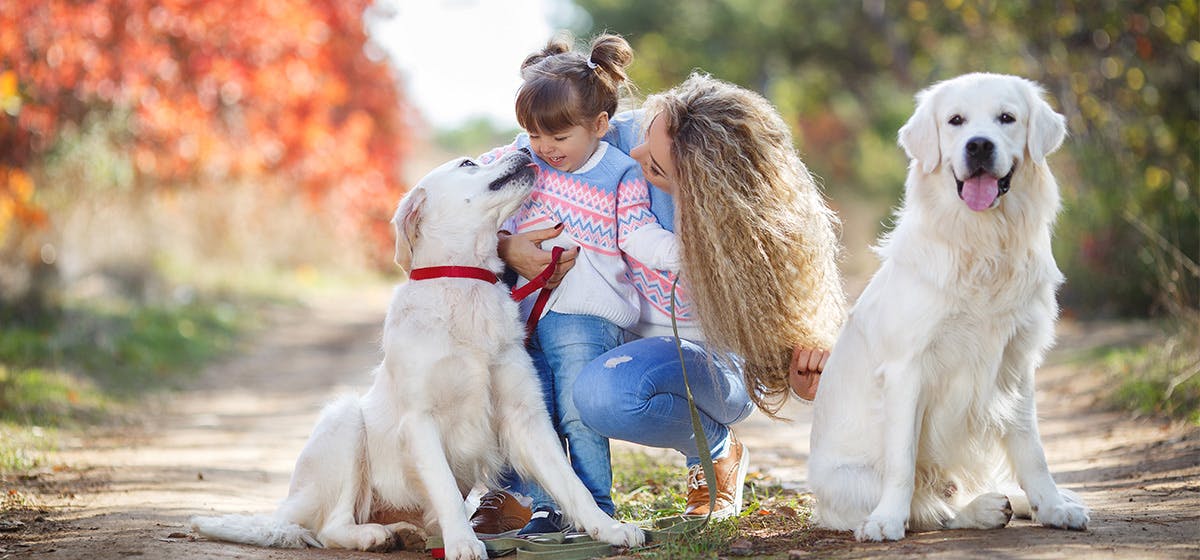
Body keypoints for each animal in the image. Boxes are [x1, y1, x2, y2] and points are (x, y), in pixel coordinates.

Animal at [194, 151, 648, 558]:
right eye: (468, 163)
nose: (523, 150)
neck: (465, 279)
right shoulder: (420, 419)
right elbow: (445, 490)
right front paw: (463, 543)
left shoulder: (526, 415)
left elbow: (572, 484)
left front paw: (609, 529)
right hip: (345, 422)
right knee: (330, 527)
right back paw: (375, 536)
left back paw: (404, 532)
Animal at [806, 72, 1089, 542]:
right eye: (956, 121)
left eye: (1007, 118)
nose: (979, 146)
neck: (981, 245)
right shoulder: (907, 370)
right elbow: (902, 463)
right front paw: (886, 520)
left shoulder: (1017, 365)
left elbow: (1033, 451)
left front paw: (1052, 506)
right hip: (847, 481)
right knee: (934, 507)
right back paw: (983, 509)